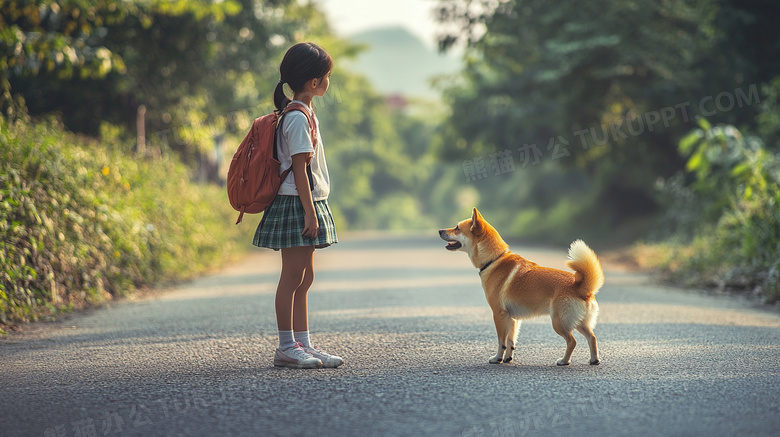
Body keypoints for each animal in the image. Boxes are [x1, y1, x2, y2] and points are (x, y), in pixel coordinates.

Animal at [438, 208, 604, 364]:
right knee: (592, 338)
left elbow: (501, 342)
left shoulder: (499, 314)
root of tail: (582, 287)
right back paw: (594, 360)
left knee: (572, 341)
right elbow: (511, 341)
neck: (494, 259)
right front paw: (508, 359)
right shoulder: (512, 318)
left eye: (457, 228)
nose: (439, 230)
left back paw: (564, 361)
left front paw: (497, 359)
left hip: (559, 322)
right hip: (580, 323)